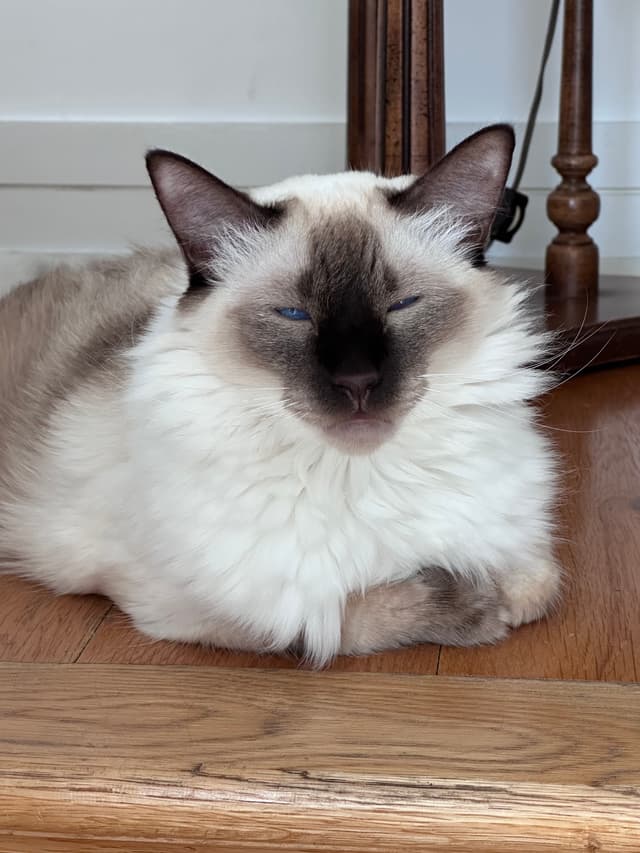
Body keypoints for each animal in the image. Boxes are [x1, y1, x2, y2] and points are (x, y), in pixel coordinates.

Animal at [0, 123, 560, 664]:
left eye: (402, 305)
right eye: (295, 315)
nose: (357, 381)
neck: (365, 475)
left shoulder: (528, 553)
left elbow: (533, 583)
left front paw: (494, 588)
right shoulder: (190, 600)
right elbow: (330, 622)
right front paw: (474, 605)